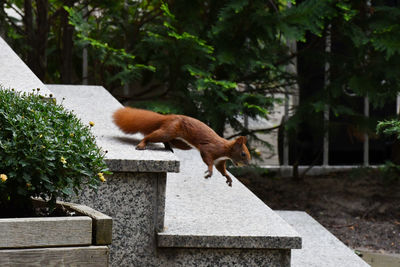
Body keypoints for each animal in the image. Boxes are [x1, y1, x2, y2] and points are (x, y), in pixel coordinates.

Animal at [112, 107, 250, 186]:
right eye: (243, 153)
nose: (248, 163)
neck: (225, 149)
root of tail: (168, 117)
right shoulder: (209, 149)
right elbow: (208, 160)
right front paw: (209, 171)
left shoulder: (220, 161)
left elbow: (221, 169)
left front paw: (228, 177)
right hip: (168, 131)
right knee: (152, 136)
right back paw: (142, 144)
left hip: (181, 143)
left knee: (167, 141)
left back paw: (168, 147)